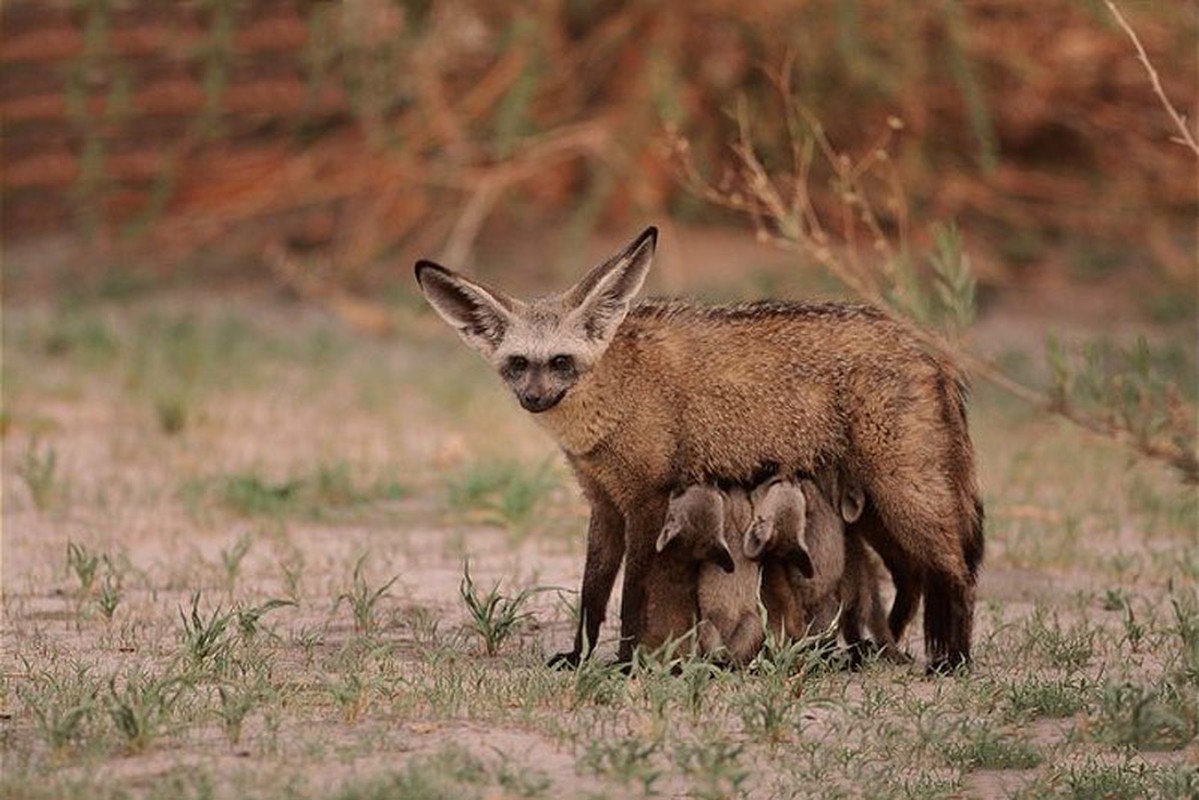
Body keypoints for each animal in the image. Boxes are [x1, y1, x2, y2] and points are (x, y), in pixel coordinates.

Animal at [414, 227, 983, 671]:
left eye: (559, 362)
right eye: (517, 364)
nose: (534, 399)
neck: (609, 399)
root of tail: (920, 342)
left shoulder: (646, 502)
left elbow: (633, 598)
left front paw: (626, 663)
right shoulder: (604, 503)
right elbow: (591, 596)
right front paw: (579, 658)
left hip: (904, 498)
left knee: (955, 574)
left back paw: (952, 662)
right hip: (874, 514)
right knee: (913, 577)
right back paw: (883, 650)